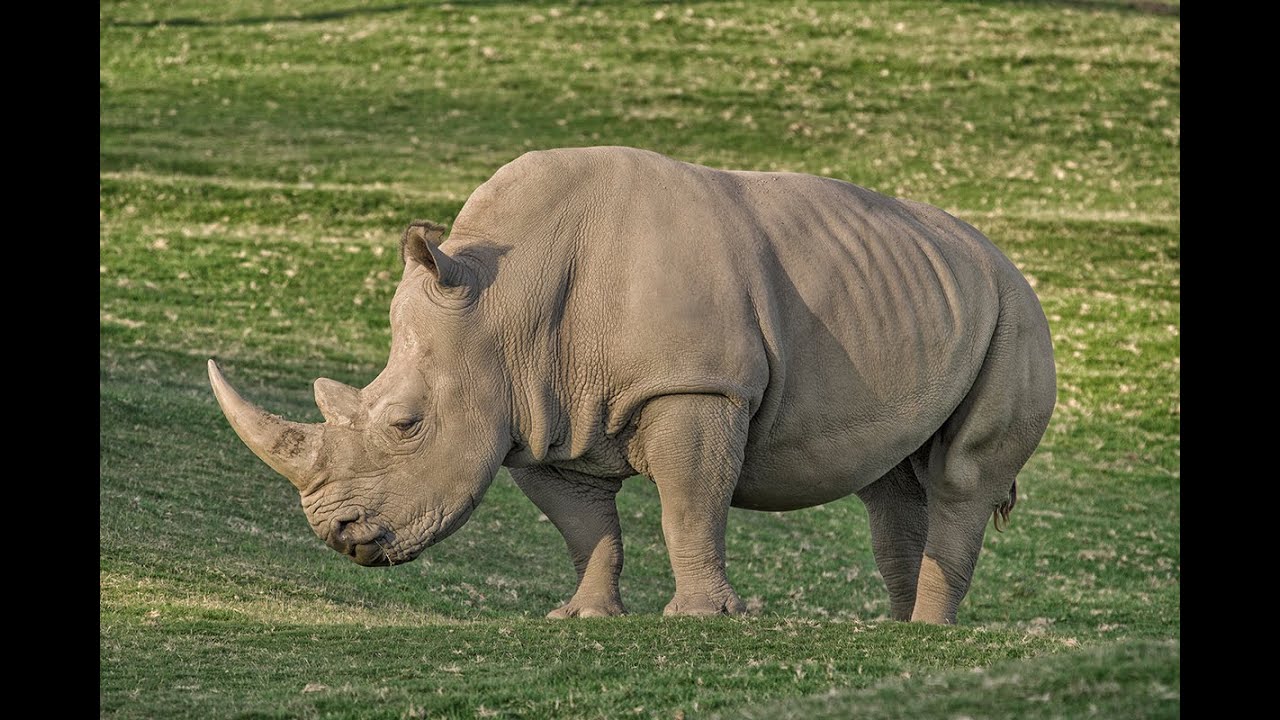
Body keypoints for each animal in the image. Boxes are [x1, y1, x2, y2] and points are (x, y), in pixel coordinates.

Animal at [209, 146, 1055, 624]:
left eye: (406, 424)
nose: (340, 536)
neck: (500, 302)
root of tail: (1000, 254)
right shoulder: (538, 412)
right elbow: (586, 528)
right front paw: (583, 618)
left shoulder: (695, 388)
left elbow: (689, 506)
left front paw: (698, 619)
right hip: (926, 297)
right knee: (890, 487)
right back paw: (901, 632)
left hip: (1016, 313)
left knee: (962, 476)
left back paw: (928, 632)